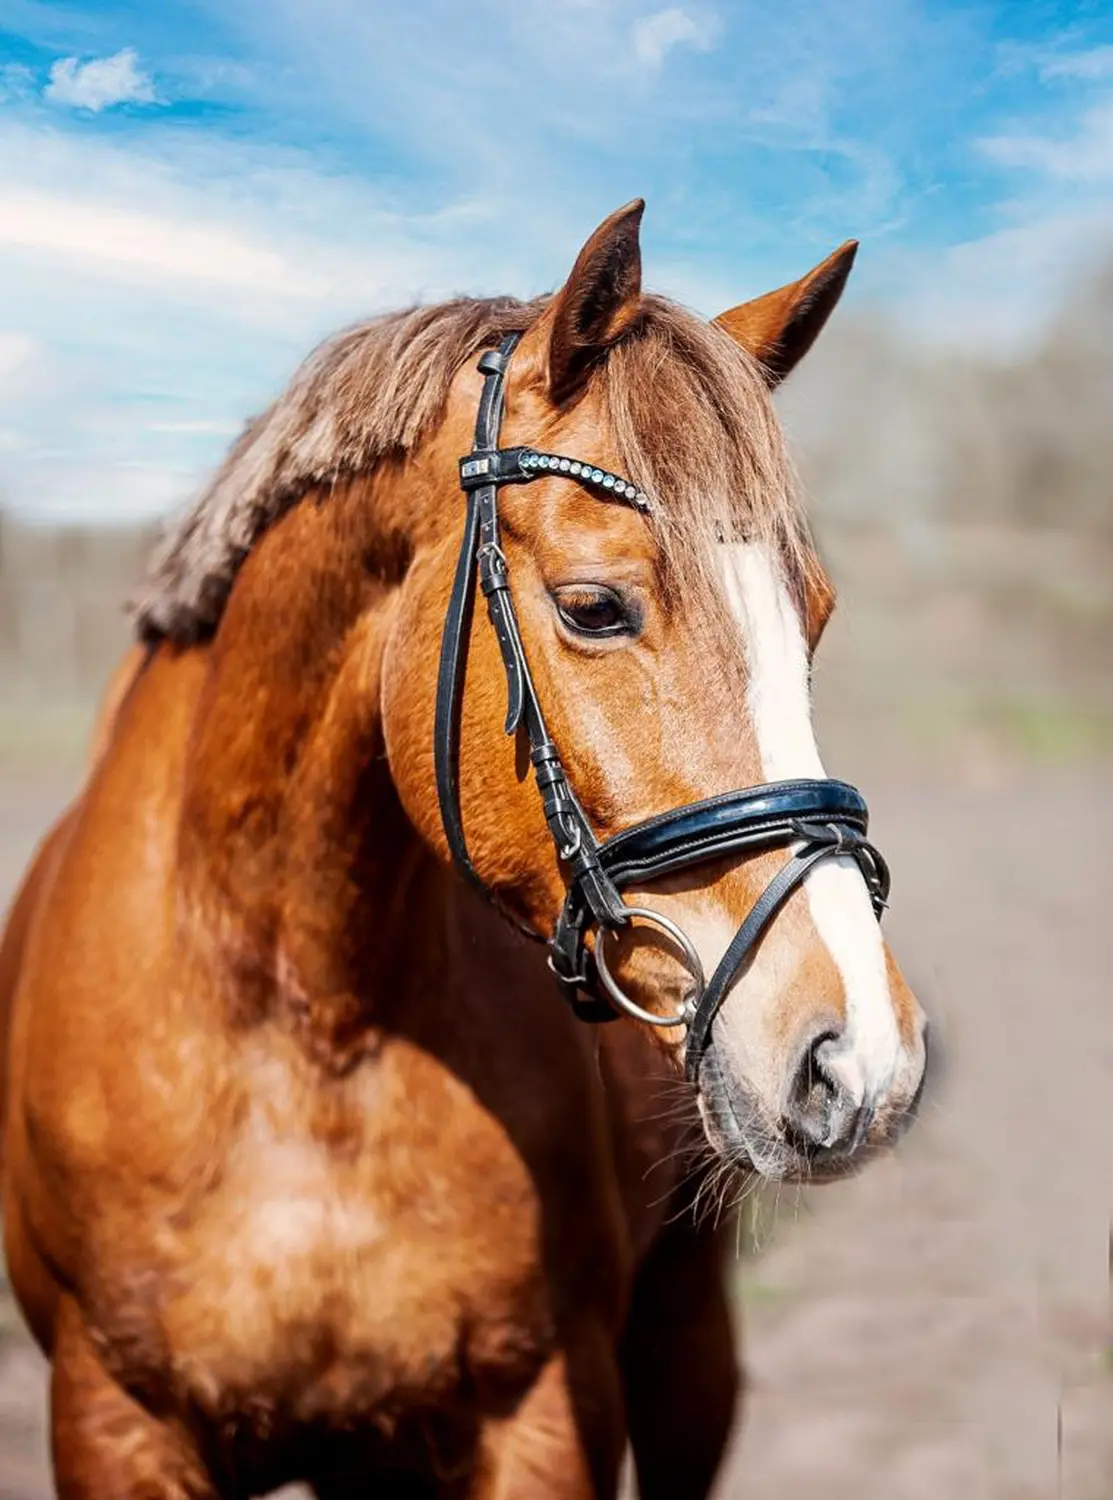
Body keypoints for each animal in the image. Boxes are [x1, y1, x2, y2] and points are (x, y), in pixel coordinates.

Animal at [0, 200, 927, 1499]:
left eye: (815, 616)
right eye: (594, 607)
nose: (863, 1062)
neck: (297, 1028)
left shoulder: (542, 1409)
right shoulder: (113, 1424)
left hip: (685, 1334)